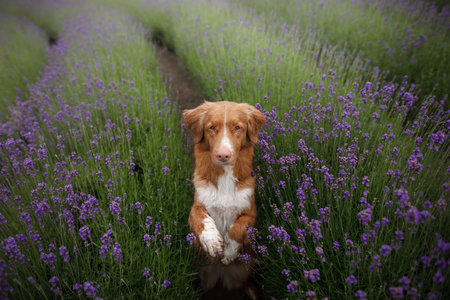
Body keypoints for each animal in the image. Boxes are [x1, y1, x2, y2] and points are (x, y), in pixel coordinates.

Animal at [183, 100, 266, 298]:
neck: (225, 177)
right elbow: (200, 217)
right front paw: (212, 241)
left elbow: (238, 228)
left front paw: (228, 252)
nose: (223, 155)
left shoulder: (251, 213)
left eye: (237, 127)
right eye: (212, 127)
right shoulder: (198, 203)